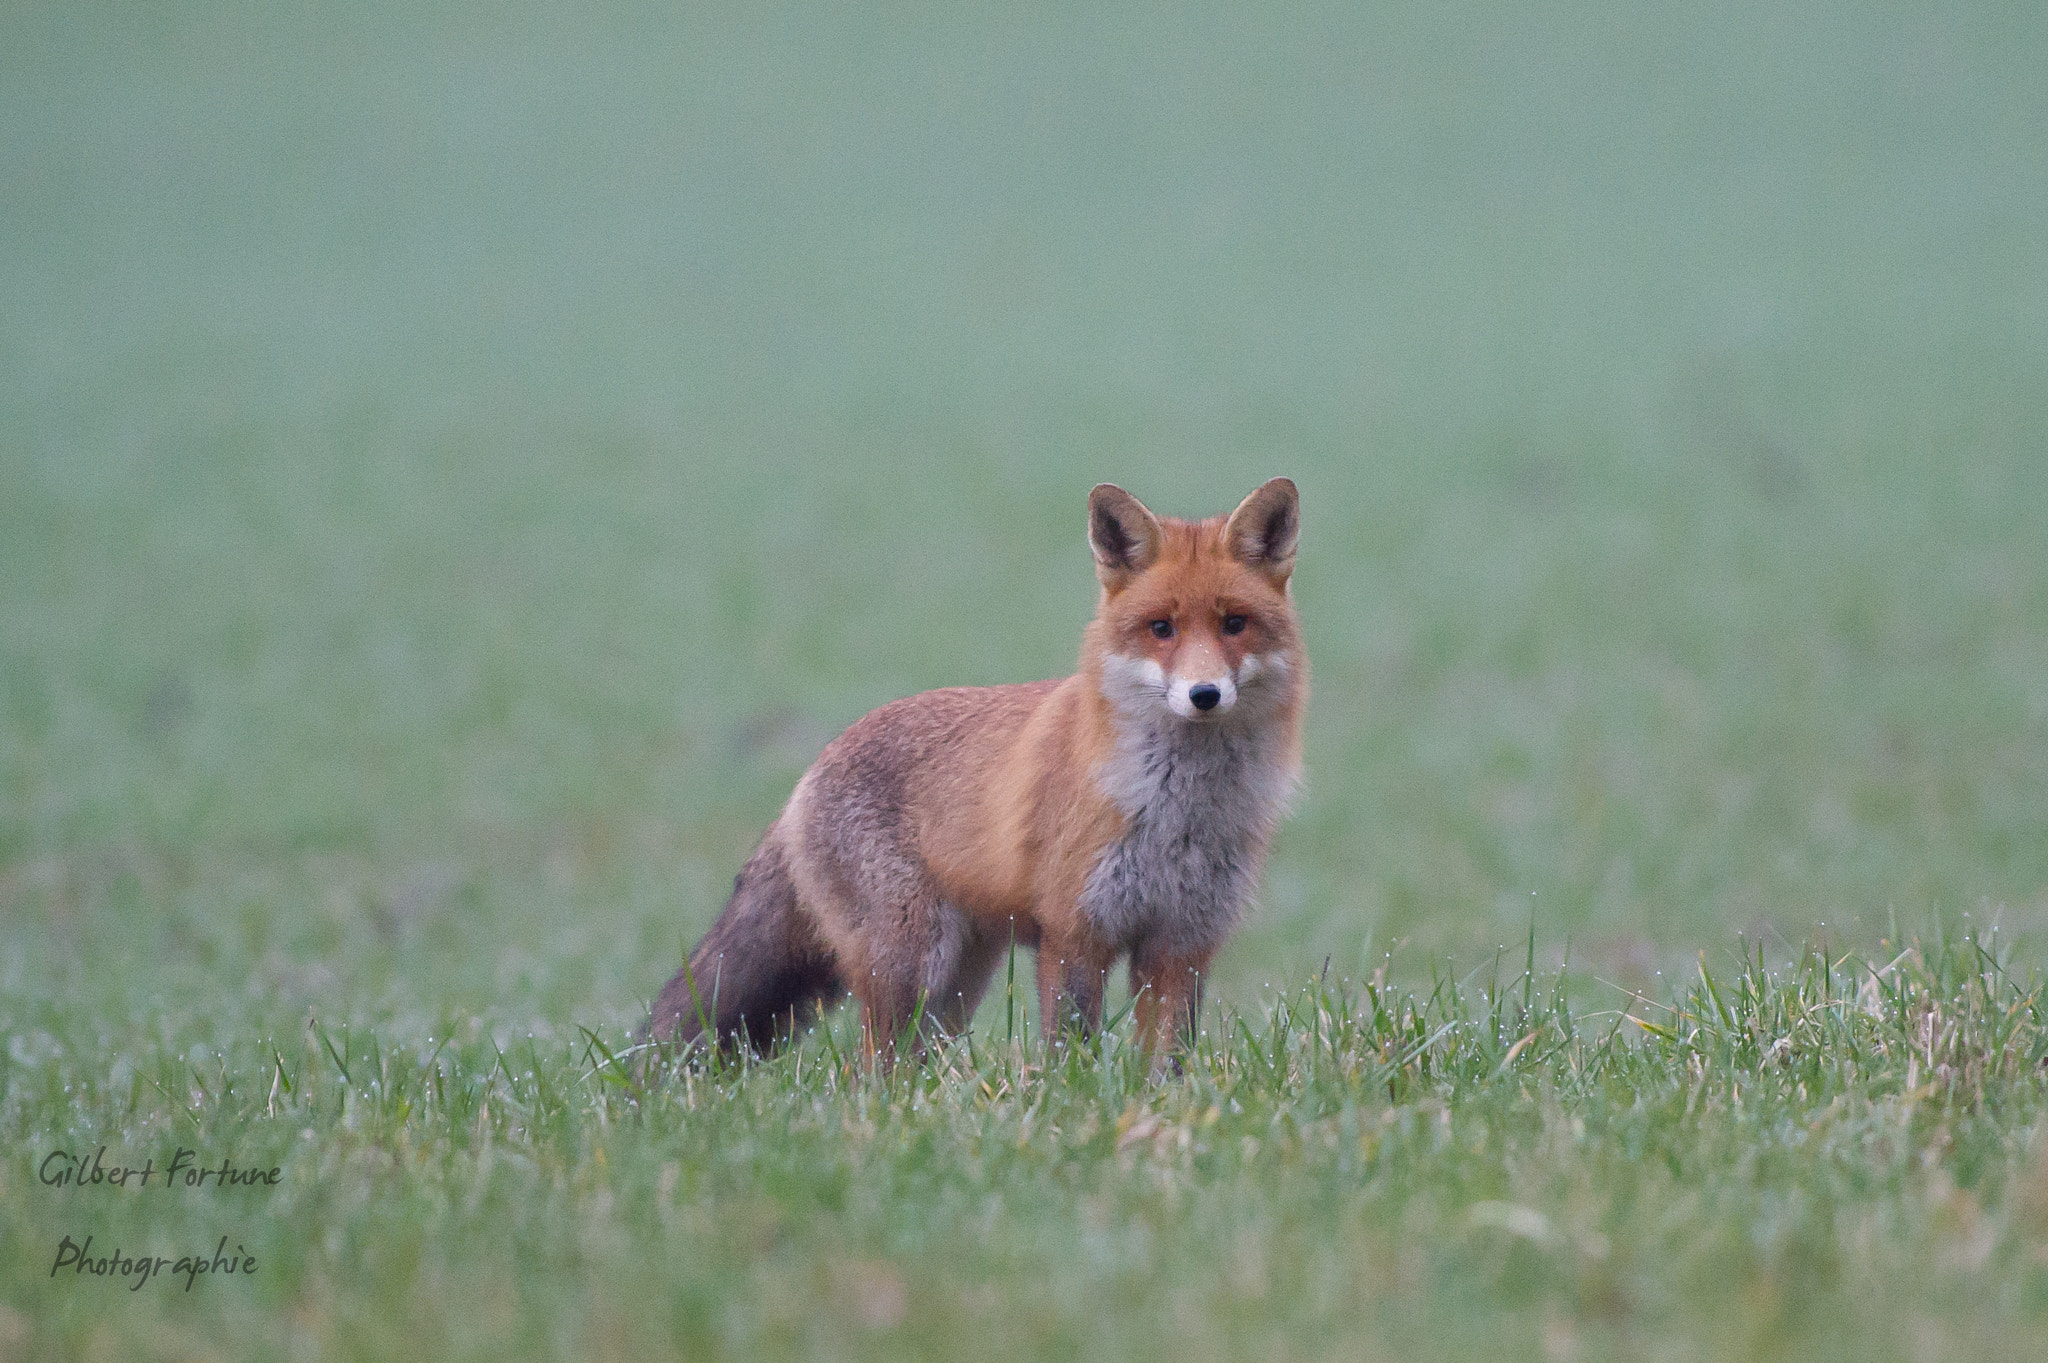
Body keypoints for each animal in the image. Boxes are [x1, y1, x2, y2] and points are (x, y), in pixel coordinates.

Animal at [648, 477, 1307, 1067]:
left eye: (1234, 624)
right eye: (1162, 628)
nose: (1204, 694)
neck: (1179, 814)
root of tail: (805, 779)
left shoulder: (1182, 943)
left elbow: (1167, 1064)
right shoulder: (1073, 934)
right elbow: (1070, 1052)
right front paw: (1074, 1102)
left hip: (957, 984)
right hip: (910, 964)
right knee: (868, 1072)